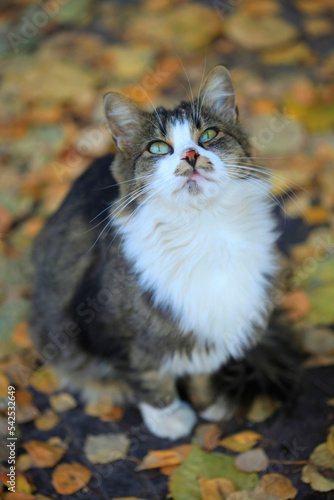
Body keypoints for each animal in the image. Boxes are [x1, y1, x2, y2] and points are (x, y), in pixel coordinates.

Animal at [30, 65, 296, 438]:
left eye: (208, 135)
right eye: (157, 148)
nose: (190, 156)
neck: (204, 228)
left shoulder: (214, 326)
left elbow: (202, 367)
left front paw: (208, 403)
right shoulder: (111, 330)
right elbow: (149, 376)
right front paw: (169, 418)